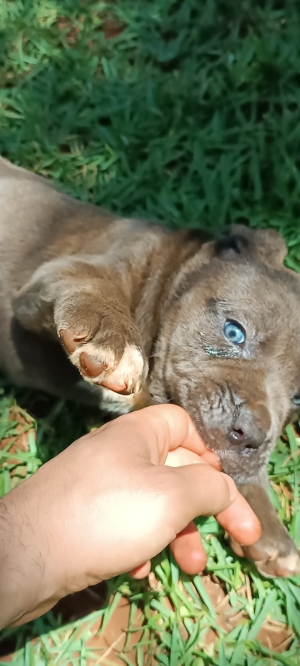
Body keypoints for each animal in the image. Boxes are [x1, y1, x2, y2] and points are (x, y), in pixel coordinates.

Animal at [0, 157, 300, 576]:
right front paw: (114, 340)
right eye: (234, 332)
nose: (253, 436)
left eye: (298, 399)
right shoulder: (58, 278)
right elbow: (92, 283)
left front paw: (267, 522)